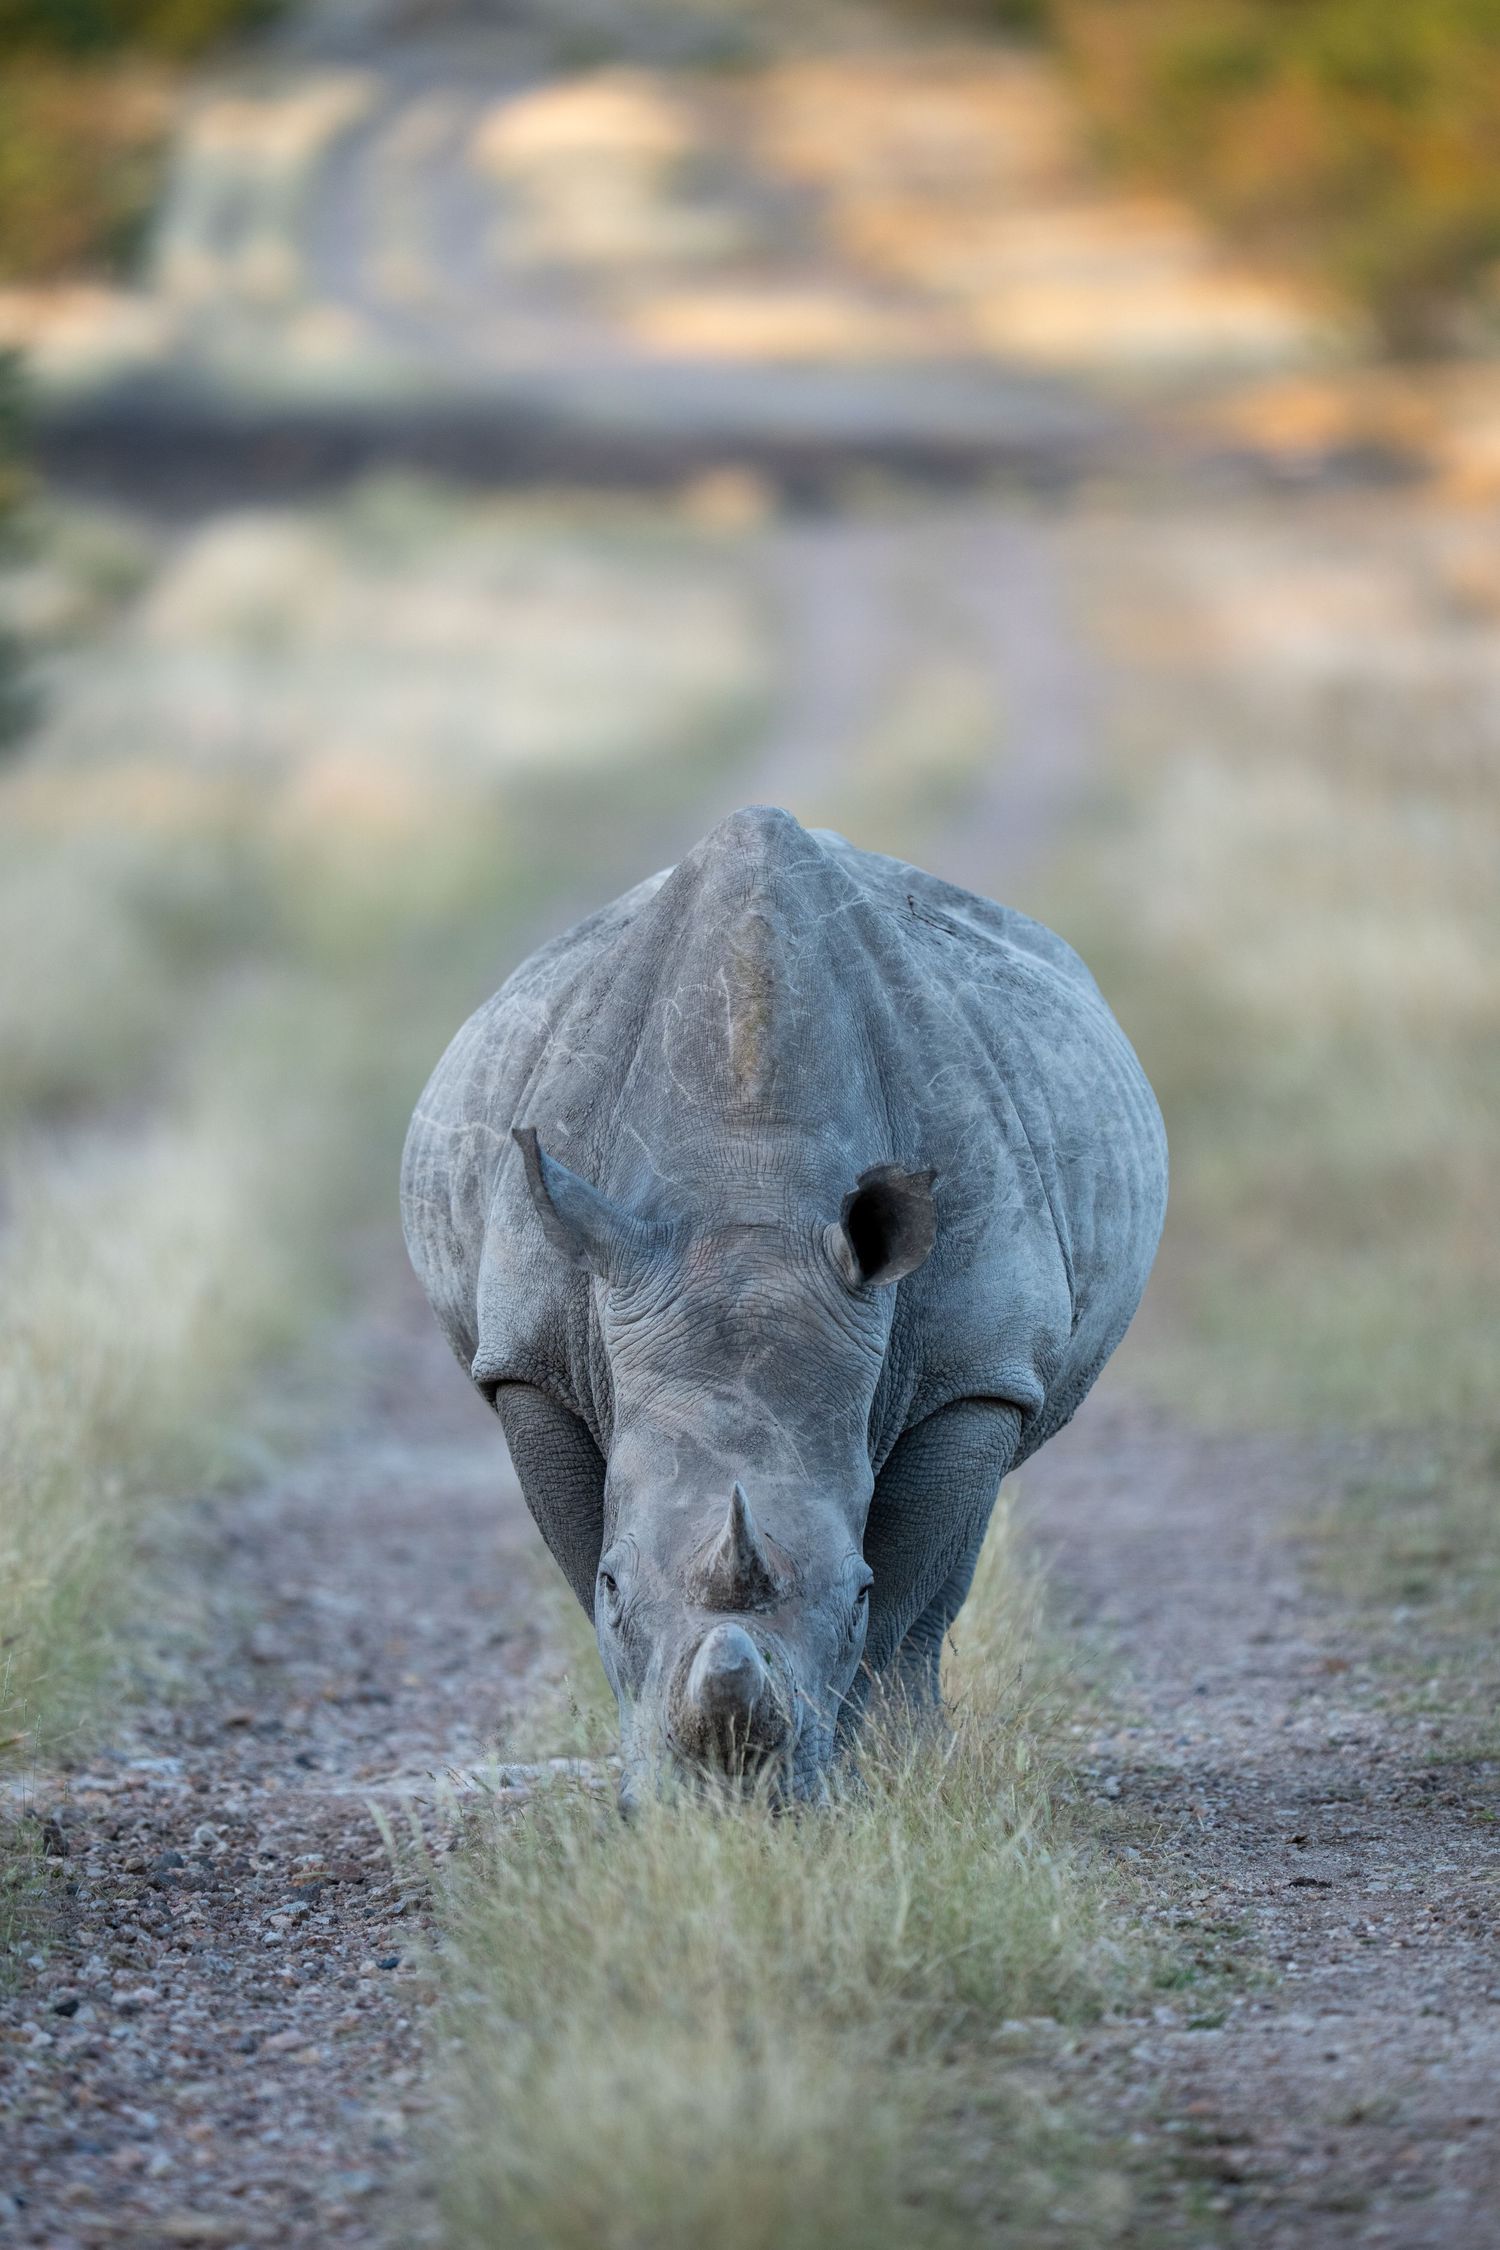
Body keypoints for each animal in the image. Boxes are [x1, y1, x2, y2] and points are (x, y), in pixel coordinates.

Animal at [401, 806, 1166, 1804]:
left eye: (854, 1592)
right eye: (614, 1588)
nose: (728, 1808)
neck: (747, 1189)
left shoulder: (976, 1368)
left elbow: (906, 1576)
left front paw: (864, 1779)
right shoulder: (532, 1359)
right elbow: (576, 1547)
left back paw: (917, 1748)